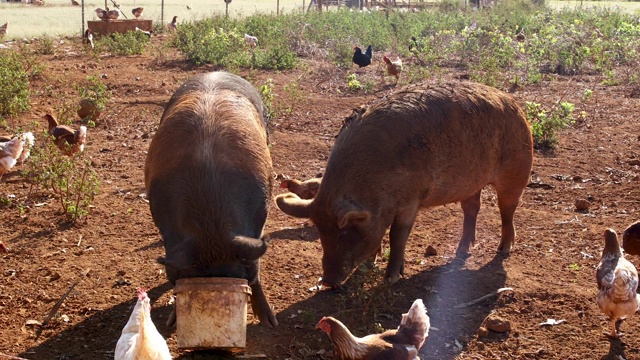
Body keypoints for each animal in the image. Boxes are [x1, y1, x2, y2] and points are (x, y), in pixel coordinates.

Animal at [145, 71, 278, 328]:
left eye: (242, 277)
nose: (272, 323)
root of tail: (215, 73)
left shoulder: (257, 223)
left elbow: (256, 268)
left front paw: (270, 323)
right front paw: (171, 324)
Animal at [278, 81, 532, 286]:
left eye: (345, 233)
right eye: (321, 233)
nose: (328, 282)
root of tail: (516, 105)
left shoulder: (411, 200)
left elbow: (397, 236)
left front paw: (391, 279)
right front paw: (371, 264)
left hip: (517, 171)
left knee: (507, 211)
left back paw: (503, 250)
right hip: (470, 183)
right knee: (472, 209)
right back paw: (461, 252)